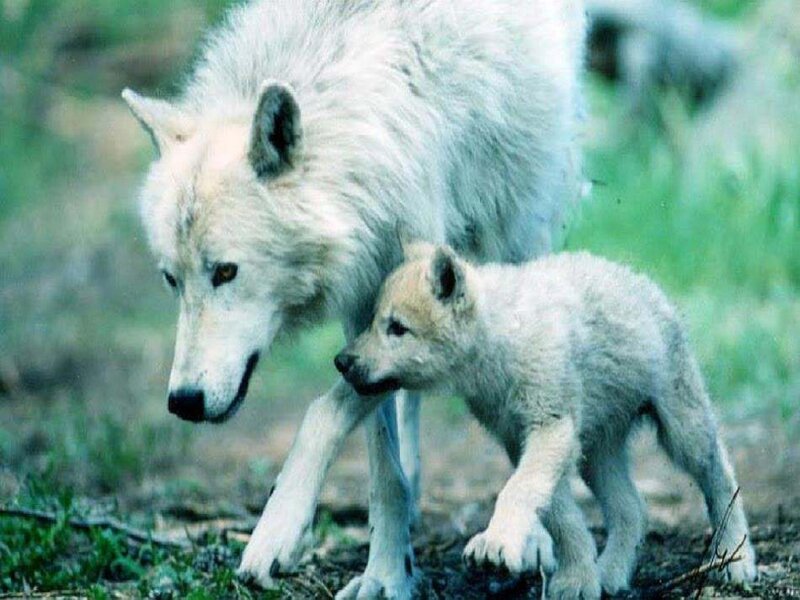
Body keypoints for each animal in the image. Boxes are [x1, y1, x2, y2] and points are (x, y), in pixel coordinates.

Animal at [122, 0, 585, 596]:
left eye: (225, 272)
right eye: (171, 279)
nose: (183, 401)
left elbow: (323, 412)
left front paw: (277, 530)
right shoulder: (363, 307)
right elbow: (381, 465)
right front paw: (387, 572)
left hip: (520, 230)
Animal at [336, 243, 758, 597]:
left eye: (397, 328)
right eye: (372, 321)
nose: (342, 361)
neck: (502, 337)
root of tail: (644, 282)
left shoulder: (550, 428)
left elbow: (518, 491)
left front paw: (495, 544)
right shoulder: (522, 439)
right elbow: (560, 515)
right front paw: (578, 579)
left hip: (683, 428)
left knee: (720, 475)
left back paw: (735, 560)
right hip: (596, 450)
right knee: (632, 509)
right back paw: (611, 572)